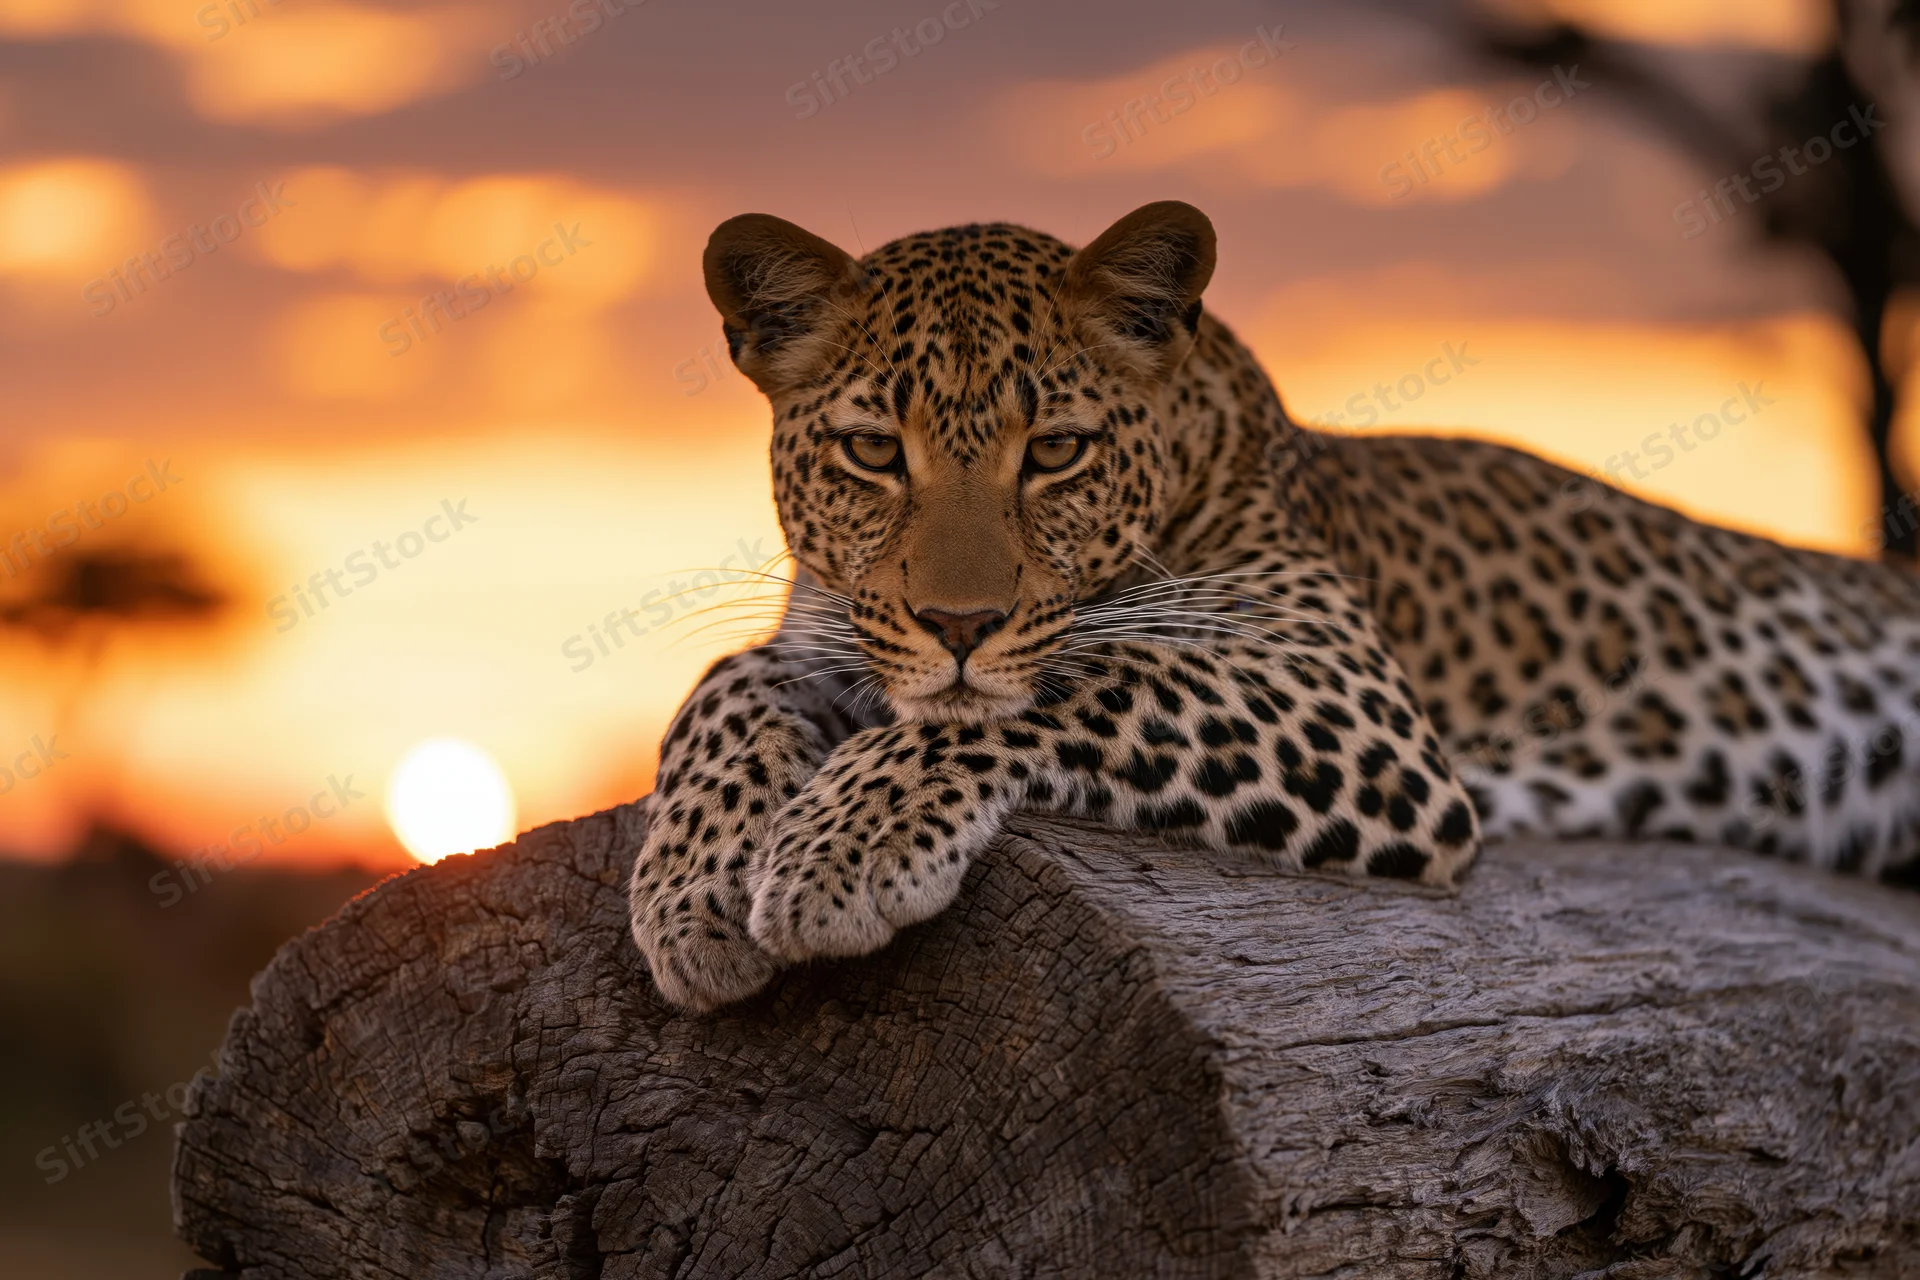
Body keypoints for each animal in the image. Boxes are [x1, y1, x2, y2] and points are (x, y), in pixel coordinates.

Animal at [628, 199, 1920, 1012]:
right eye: (869, 451)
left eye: (1054, 451)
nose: (958, 625)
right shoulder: (832, 636)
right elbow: (723, 684)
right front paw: (693, 894)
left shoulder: (1343, 691)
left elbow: (1078, 676)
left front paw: (834, 851)